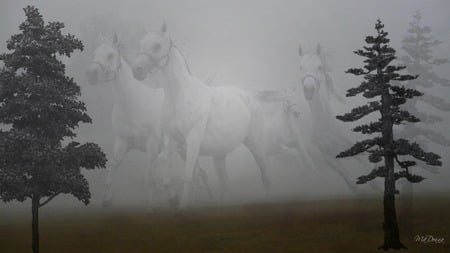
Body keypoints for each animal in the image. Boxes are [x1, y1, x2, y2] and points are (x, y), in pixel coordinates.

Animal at [131, 23, 270, 208]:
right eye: (140, 44)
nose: (137, 70)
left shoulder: (192, 140)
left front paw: (181, 205)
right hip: (219, 156)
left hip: (256, 146)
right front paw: (172, 197)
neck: (179, 96)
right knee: (226, 184)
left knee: (266, 177)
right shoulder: (172, 139)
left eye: (157, 45)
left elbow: (188, 176)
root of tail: (250, 96)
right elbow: (163, 161)